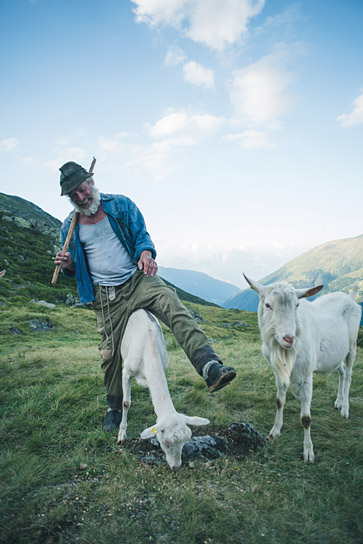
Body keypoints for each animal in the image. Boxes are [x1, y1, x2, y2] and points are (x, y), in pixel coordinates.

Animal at [116, 308, 210, 470]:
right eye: (166, 442)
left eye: (186, 440)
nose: (176, 467)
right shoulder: (127, 371)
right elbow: (126, 403)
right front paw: (122, 435)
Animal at [245, 276, 362, 464]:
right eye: (268, 305)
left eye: (297, 305)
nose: (289, 338)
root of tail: (350, 298)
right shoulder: (279, 374)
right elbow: (279, 401)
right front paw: (275, 431)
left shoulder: (307, 376)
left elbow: (306, 418)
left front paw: (308, 452)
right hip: (335, 353)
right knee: (342, 372)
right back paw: (338, 401)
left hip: (352, 345)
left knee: (349, 374)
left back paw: (345, 408)